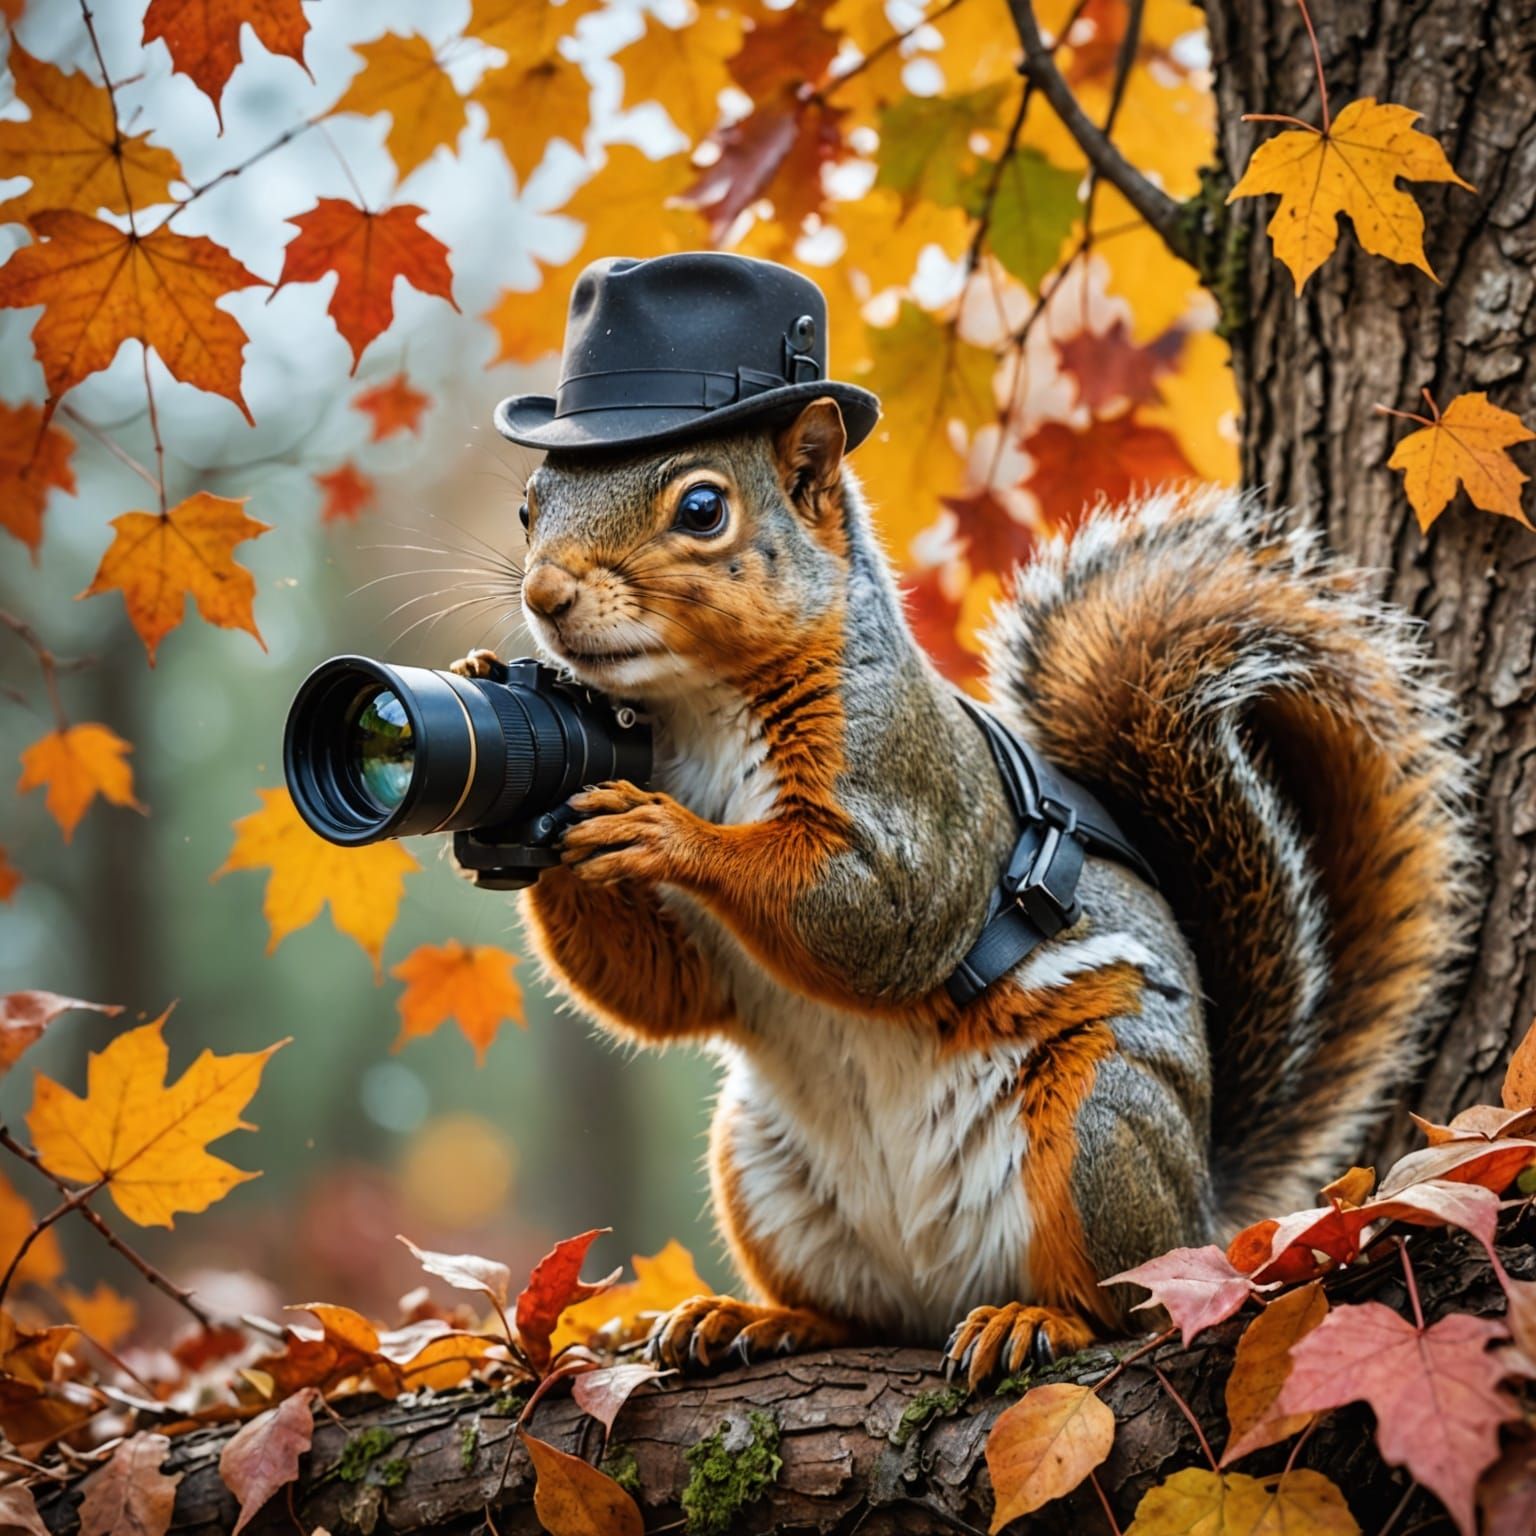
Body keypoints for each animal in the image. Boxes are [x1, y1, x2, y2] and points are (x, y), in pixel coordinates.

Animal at [456, 397, 1474, 1386]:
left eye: (703, 509)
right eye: (527, 507)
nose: (543, 595)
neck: (696, 713)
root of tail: (1202, 1216)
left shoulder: (916, 796)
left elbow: (878, 918)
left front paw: (671, 834)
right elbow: (663, 991)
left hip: (1095, 1135)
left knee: (1122, 1305)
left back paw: (1035, 1321)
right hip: (763, 1169)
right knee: (858, 1316)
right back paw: (755, 1318)